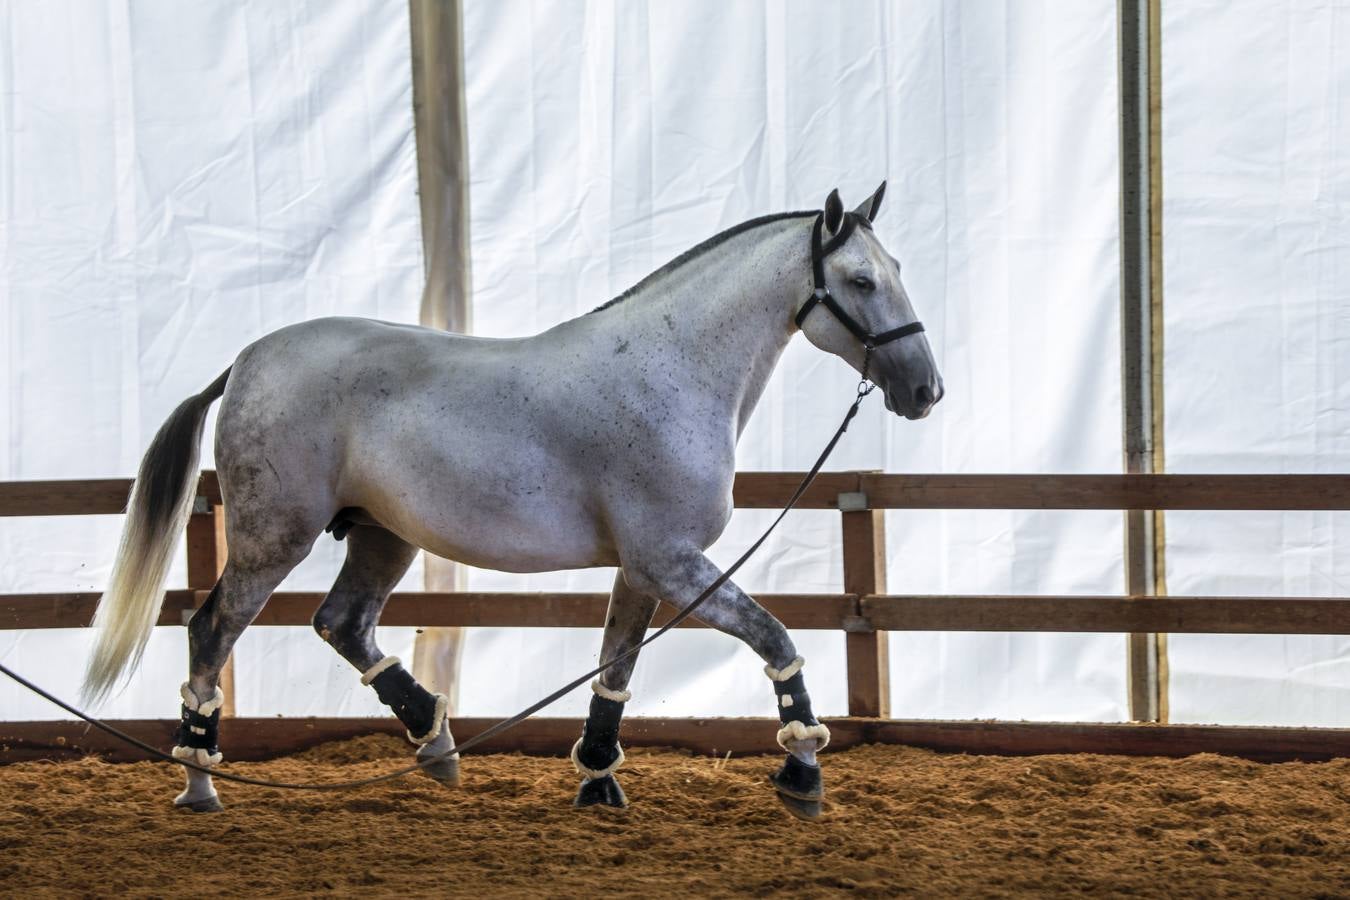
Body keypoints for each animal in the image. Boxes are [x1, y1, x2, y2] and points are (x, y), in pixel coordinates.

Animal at [82, 184, 943, 818]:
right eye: (861, 281)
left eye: (900, 267)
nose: (925, 391)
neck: (672, 371)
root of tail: (244, 362)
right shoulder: (674, 561)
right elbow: (775, 637)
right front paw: (802, 771)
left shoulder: (641, 567)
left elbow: (615, 671)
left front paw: (598, 781)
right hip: (273, 538)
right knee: (212, 630)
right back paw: (200, 781)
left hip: (382, 535)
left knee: (342, 623)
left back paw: (434, 744)